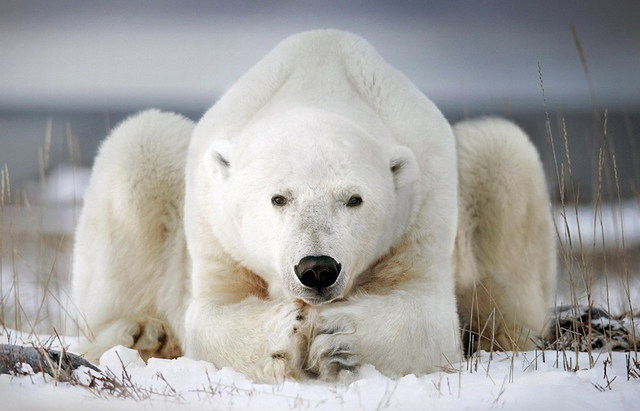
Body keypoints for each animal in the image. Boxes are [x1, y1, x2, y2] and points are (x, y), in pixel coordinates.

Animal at [72, 30, 556, 384]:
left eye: (354, 199)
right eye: (278, 198)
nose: (318, 268)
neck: (320, 82)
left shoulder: (423, 202)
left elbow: (428, 315)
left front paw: (336, 336)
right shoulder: (216, 226)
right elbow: (211, 314)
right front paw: (286, 331)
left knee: (501, 155)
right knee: (140, 146)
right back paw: (141, 333)